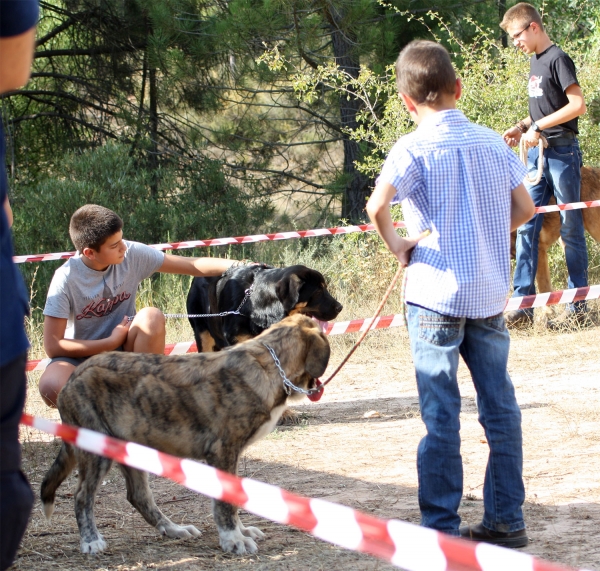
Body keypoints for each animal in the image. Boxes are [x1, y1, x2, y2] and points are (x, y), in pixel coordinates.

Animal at [39, 316, 330, 556]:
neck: (267, 364)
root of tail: (72, 379)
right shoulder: (223, 451)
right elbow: (225, 503)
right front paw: (233, 539)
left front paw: (240, 531)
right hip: (96, 448)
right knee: (82, 496)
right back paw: (91, 541)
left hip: (130, 445)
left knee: (139, 496)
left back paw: (173, 529)